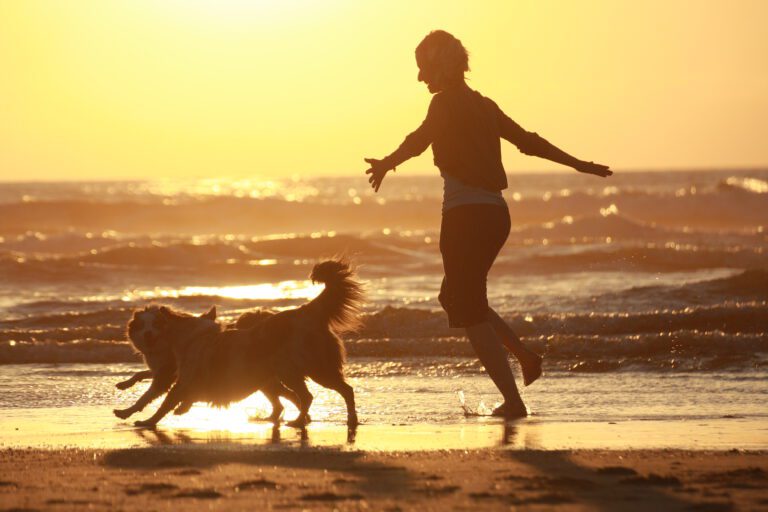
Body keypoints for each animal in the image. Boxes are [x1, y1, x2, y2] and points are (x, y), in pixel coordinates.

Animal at [127, 260, 364, 428]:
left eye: (156, 324)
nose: (147, 335)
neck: (188, 336)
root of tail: (309, 311)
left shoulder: (184, 381)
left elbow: (165, 402)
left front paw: (147, 421)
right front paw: (178, 410)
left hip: (304, 369)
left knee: (315, 395)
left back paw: (301, 421)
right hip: (300, 371)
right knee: (331, 392)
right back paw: (343, 419)